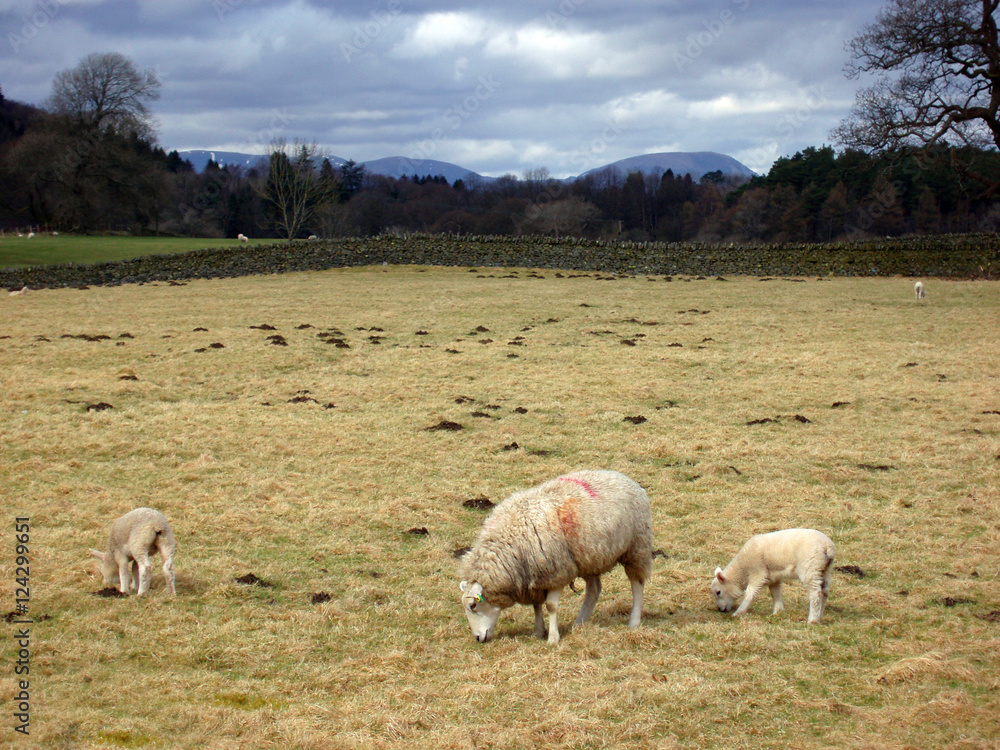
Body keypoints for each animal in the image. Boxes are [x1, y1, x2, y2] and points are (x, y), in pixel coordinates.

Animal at [459, 469, 653, 645]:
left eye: (473, 605)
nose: (478, 638)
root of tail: (624, 478)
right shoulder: (535, 576)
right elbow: (536, 605)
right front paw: (538, 631)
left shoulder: (556, 572)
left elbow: (551, 606)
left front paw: (553, 638)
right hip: (589, 558)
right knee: (594, 590)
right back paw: (579, 623)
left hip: (637, 548)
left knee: (637, 584)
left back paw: (634, 621)